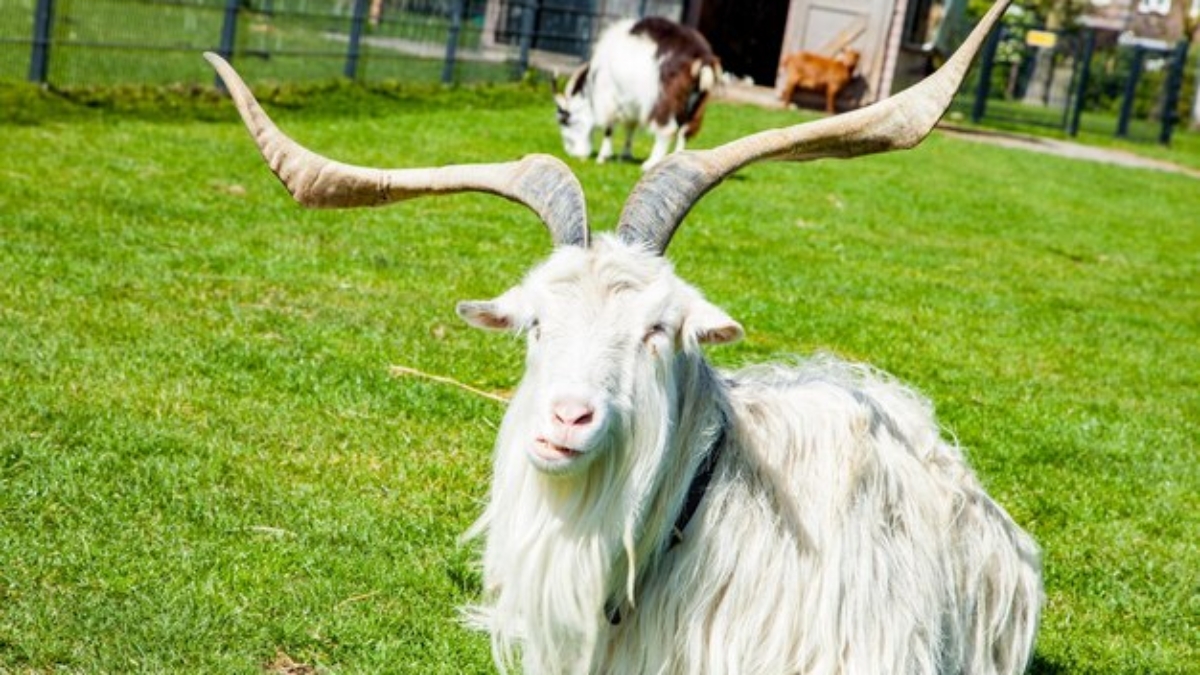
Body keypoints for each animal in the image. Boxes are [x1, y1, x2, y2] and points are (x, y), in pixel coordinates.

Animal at [555, 17, 720, 171]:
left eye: (565, 121)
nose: (570, 152)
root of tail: (702, 57)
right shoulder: (631, 103)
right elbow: (630, 127)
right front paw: (625, 155)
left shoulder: (610, 97)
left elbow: (609, 128)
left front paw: (602, 157)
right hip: (699, 101)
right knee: (685, 130)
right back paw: (679, 158)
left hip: (663, 97)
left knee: (667, 129)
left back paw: (650, 163)